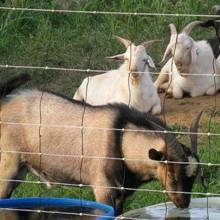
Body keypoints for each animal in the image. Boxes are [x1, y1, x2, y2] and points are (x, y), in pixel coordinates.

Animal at [0, 75, 203, 215]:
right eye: (172, 176)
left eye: (194, 178)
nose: (183, 203)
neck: (120, 138)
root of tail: (4, 104)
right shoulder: (103, 190)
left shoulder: (121, 195)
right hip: (7, 167)